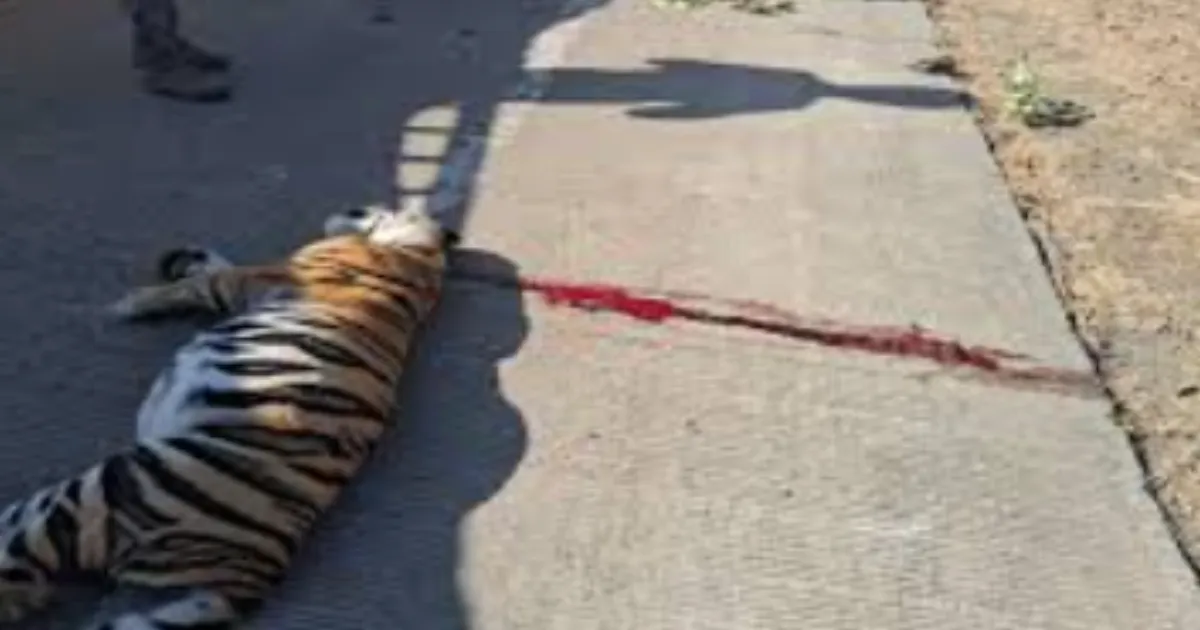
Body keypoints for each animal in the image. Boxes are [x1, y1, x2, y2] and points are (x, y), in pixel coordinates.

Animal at [0, 206, 451, 629]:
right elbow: (211, 267)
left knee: (18, 548)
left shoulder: (252, 278)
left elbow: (202, 282)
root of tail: (238, 586)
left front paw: (131, 302)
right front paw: (188, 257)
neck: (421, 256)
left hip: (104, 490)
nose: (352, 206)